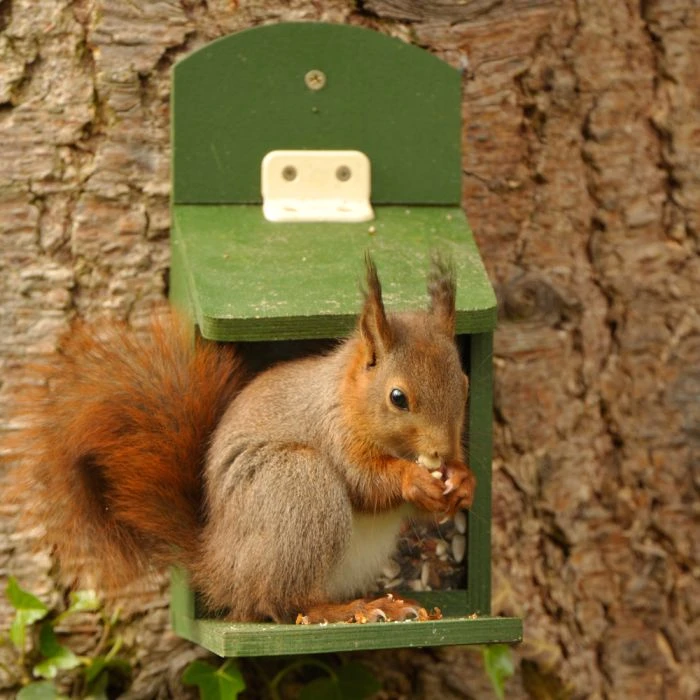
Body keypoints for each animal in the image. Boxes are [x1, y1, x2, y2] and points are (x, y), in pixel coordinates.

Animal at [11, 256, 476, 624]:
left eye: (465, 383)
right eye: (398, 398)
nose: (442, 453)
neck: (347, 397)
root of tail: (219, 564)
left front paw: (463, 483)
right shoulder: (332, 432)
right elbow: (365, 482)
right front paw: (413, 479)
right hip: (297, 486)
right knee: (287, 602)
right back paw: (349, 609)